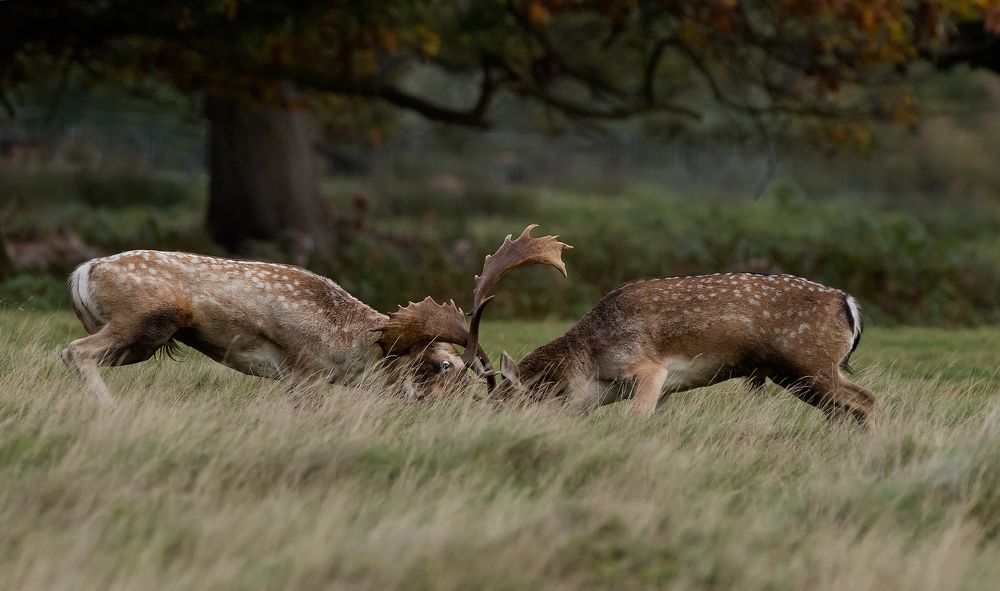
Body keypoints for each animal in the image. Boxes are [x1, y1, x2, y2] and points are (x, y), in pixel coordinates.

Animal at [59, 242, 538, 404]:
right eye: (443, 366)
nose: (467, 403)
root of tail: (82, 272)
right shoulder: (303, 370)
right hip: (144, 320)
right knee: (73, 351)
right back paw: (111, 410)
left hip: (140, 340)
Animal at [463, 238, 875, 427]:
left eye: (500, 406)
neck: (591, 369)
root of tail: (849, 304)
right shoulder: (666, 389)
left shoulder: (647, 367)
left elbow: (635, 418)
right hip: (799, 373)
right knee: (845, 409)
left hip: (809, 362)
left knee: (865, 401)